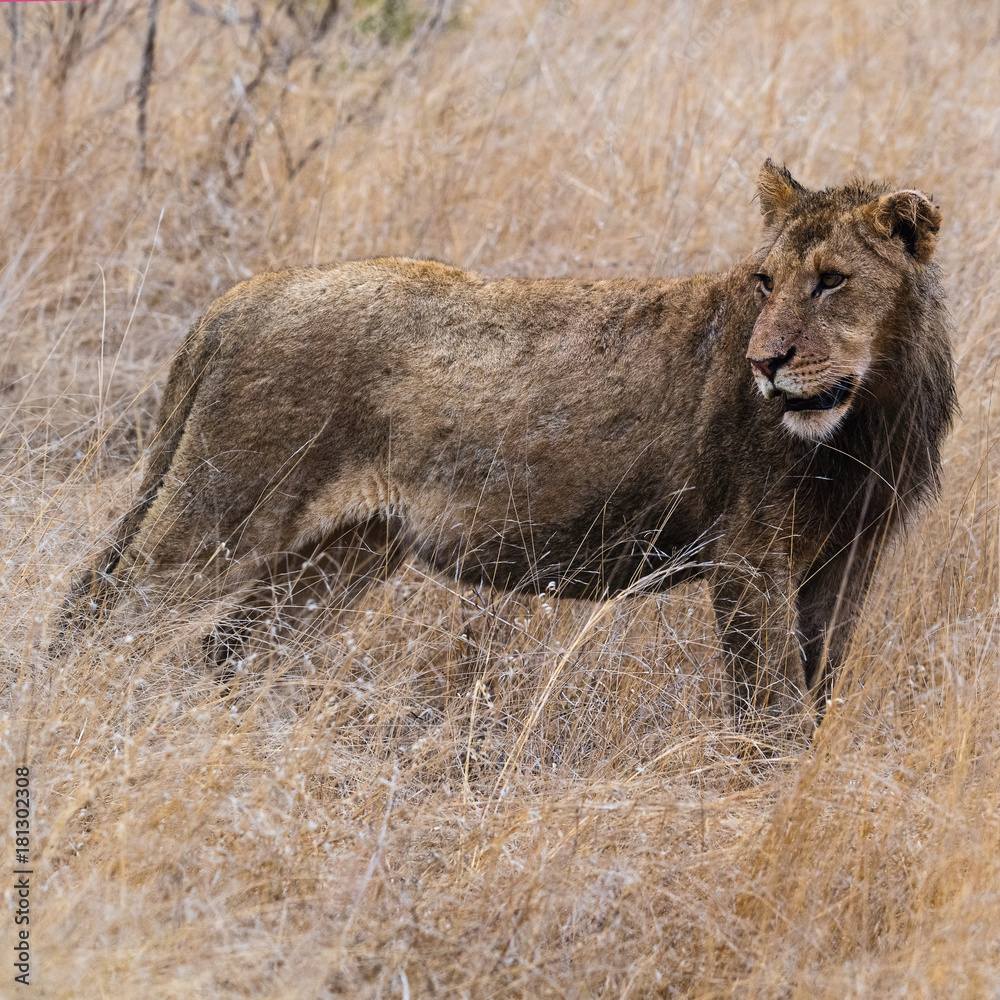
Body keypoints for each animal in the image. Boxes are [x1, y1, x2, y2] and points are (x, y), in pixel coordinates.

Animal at [59, 160, 955, 733]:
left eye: (832, 280)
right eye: (765, 282)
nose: (763, 364)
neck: (872, 412)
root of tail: (236, 300)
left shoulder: (846, 561)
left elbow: (817, 695)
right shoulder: (748, 558)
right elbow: (771, 713)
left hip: (343, 553)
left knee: (227, 652)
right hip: (221, 513)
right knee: (97, 619)